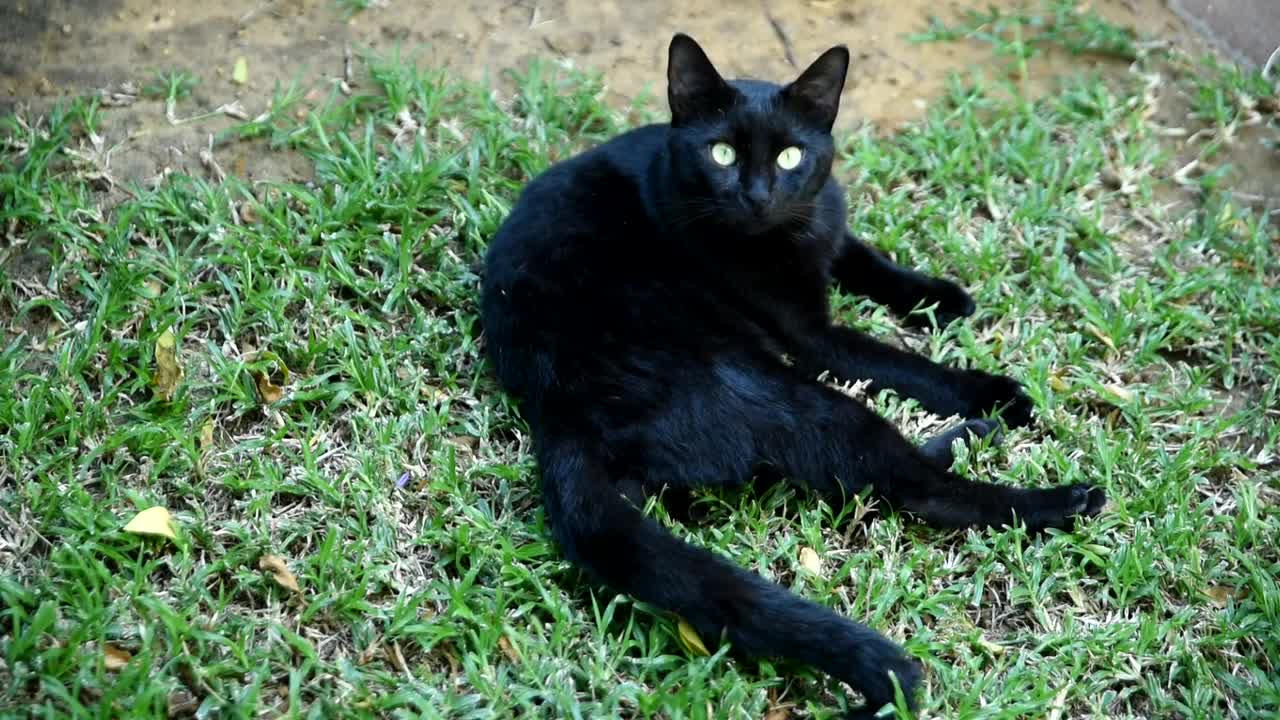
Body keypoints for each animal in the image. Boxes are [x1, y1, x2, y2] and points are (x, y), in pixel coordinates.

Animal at [483, 32, 1105, 712]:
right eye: (722, 153)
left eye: (790, 157)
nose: (757, 195)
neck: (786, 236)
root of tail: (559, 412)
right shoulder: (813, 337)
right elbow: (899, 360)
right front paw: (993, 390)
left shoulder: (825, 219)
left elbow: (864, 257)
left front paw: (940, 297)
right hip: (794, 394)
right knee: (913, 485)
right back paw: (1059, 494)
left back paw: (973, 436)